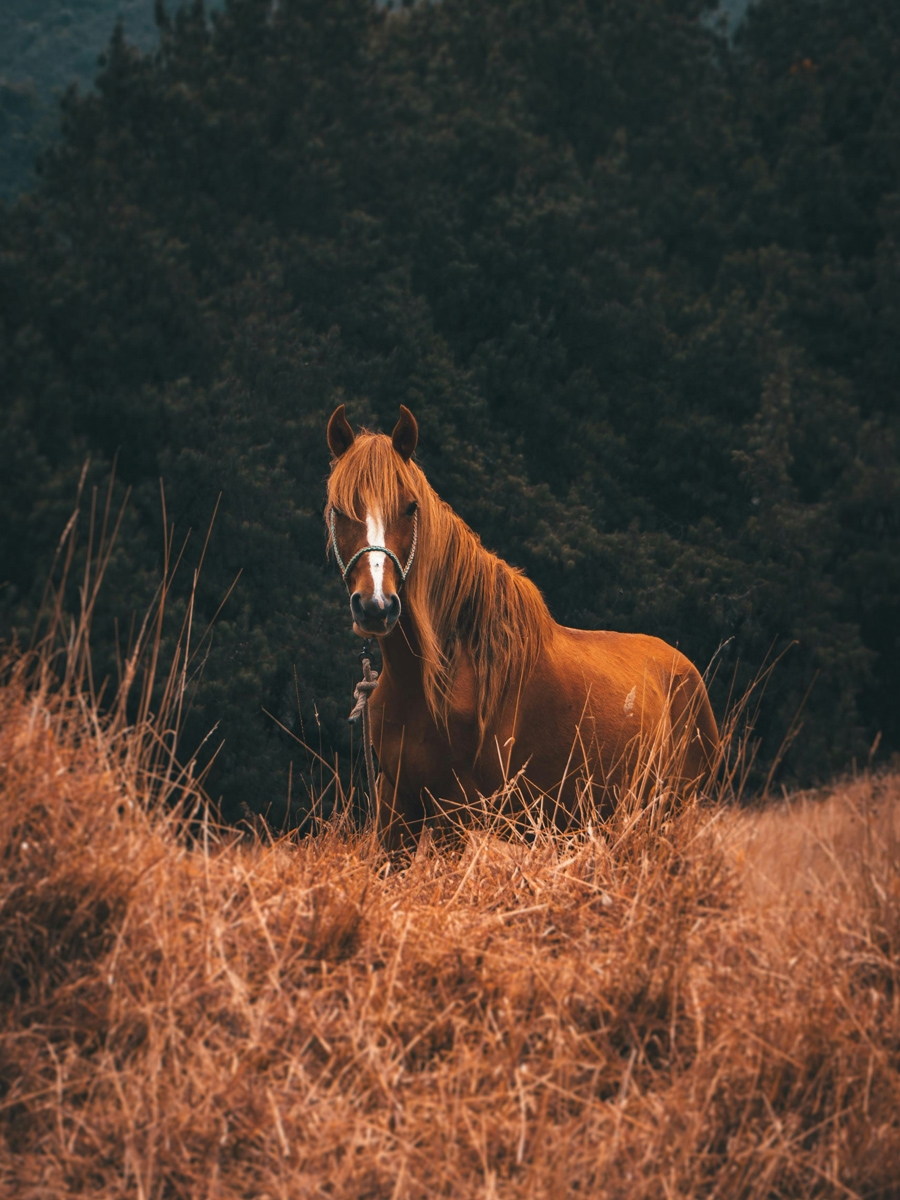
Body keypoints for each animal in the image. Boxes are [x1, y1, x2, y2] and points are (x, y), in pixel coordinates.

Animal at [326, 404, 719, 850]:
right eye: (338, 509)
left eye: (410, 507)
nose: (376, 606)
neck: (440, 677)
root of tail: (689, 673)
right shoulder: (395, 811)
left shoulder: (455, 815)